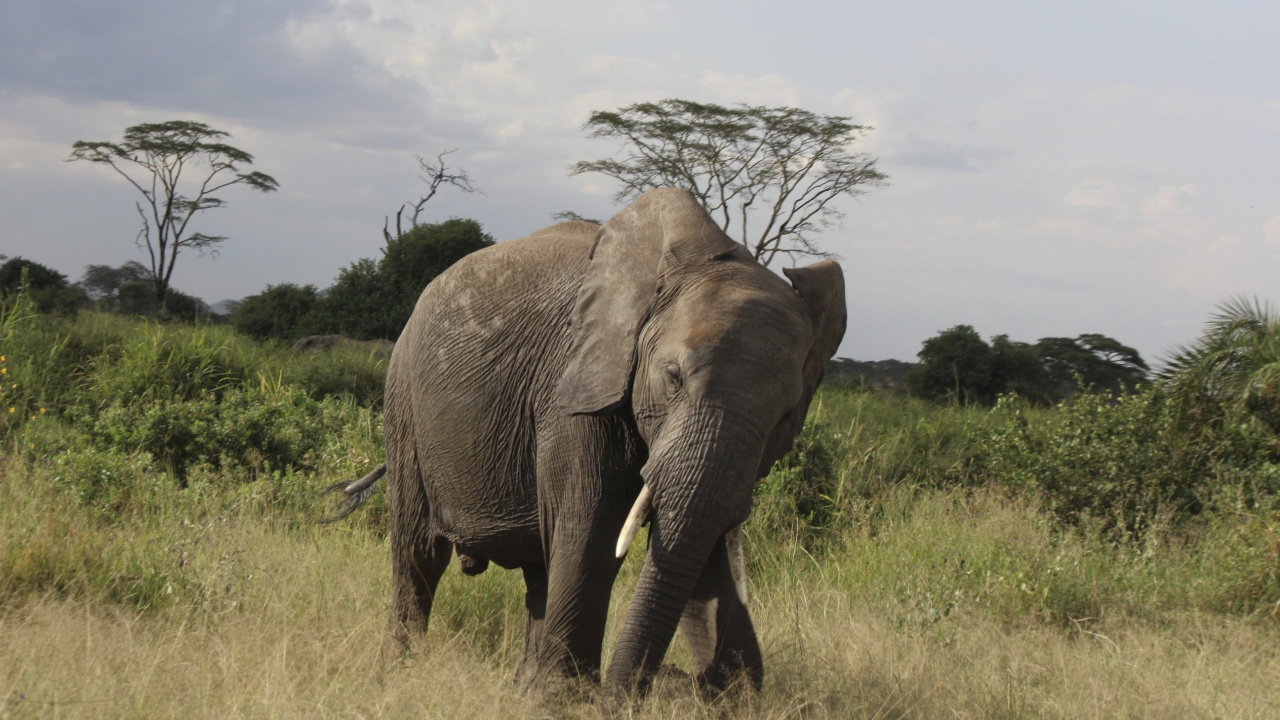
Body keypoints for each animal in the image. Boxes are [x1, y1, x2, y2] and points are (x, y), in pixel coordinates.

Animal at [376, 187, 846, 694]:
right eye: (673, 377)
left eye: (786, 415)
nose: (680, 677)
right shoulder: (572, 385)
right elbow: (593, 531)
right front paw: (569, 700)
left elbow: (700, 546)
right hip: (404, 398)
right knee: (420, 551)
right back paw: (403, 671)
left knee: (539, 568)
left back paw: (525, 688)